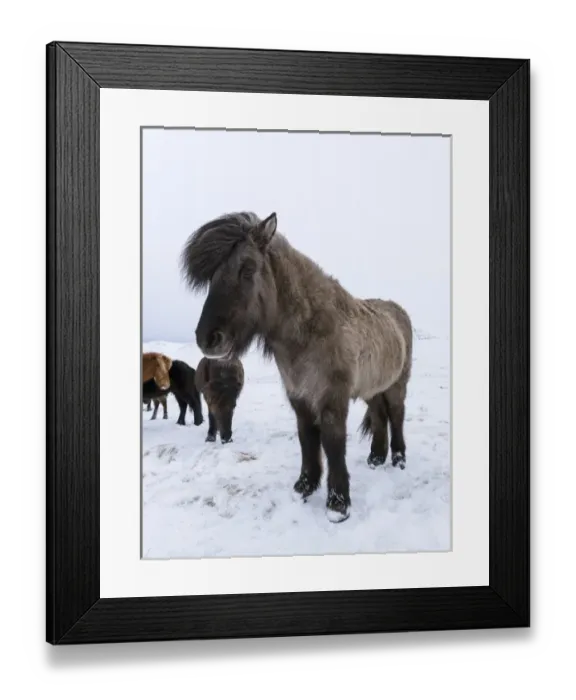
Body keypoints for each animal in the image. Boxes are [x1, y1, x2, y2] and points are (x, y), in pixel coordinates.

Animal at [180, 211, 413, 523]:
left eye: (247, 269)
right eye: (212, 276)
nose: (207, 338)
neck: (311, 331)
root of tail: (398, 312)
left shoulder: (332, 401)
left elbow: (333, 445)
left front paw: (338, 505)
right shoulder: (300, 398)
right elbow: (307, 440)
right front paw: (305, 486)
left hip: (397, 386)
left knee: (396, 416)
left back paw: (398, 459)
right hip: (373, 389)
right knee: (378, 417)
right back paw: (376, 458)